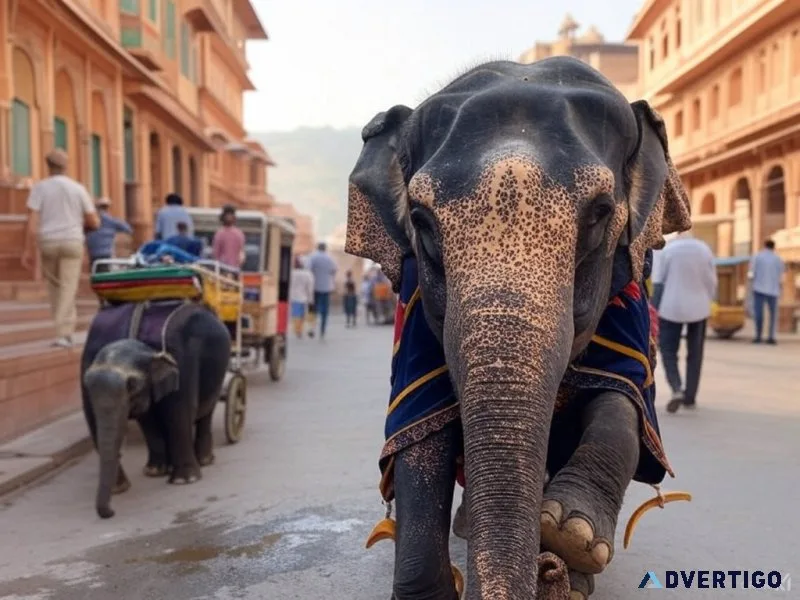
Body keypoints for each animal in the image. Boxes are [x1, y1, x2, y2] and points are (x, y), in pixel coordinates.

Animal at [81, 300, 231, 519]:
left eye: (132, 385)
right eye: (86, 382)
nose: (110, 512)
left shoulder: (180, 359)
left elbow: (178, 414)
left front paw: (185, 481)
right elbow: (148, 420)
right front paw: (152, 473)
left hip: (219, 371)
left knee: (206, 413)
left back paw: (204, 460)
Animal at [345, 56, 692, 600]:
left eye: (600, 214)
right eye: (420, 221)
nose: (546, 570)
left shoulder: (631, 300)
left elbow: (627, 397)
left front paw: (572, 534)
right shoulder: (414, 309)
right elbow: (418, 422)